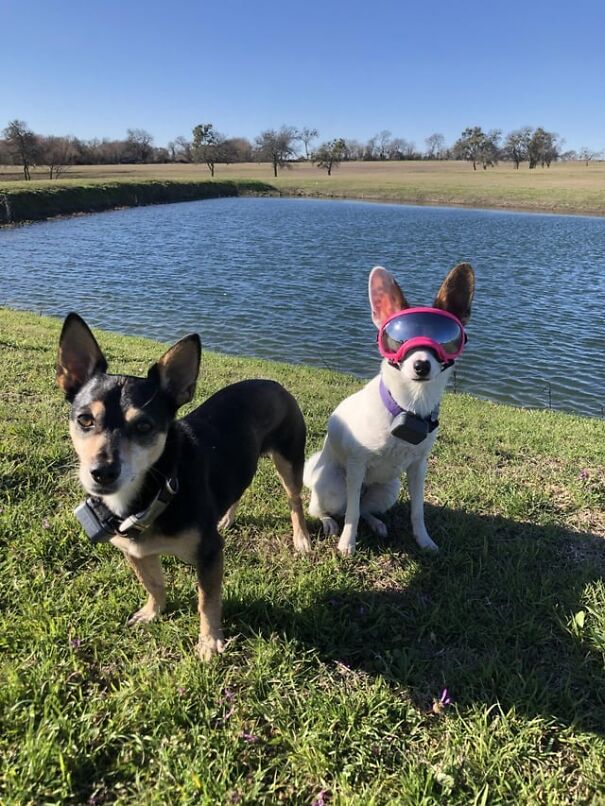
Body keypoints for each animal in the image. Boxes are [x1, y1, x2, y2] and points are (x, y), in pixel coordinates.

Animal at [56, 312, 312, 660]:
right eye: (84, 419)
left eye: (145, 426)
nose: (102, 473)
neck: (152, 491)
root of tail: (274, 383)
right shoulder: (134, 551)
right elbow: (153, 583)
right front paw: (152, 612)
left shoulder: (210, 553)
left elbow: (208, 601)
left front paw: (209, 642)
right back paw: (226, 518)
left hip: (289, 458)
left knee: (294, 499)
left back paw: (301, 538)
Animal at [304, 266, 474, 556]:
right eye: (398, 338)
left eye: (443, 340)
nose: (421, 365)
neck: (408, 406)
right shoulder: (356, 466)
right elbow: (350, 515)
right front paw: (347, 544)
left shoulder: (418, 468)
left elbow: (417, 510)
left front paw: (423, 540)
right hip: (333, 486)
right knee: (327, 508)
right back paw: (329, 522)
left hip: (389, 489)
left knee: (363, 509)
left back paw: (376, 523)